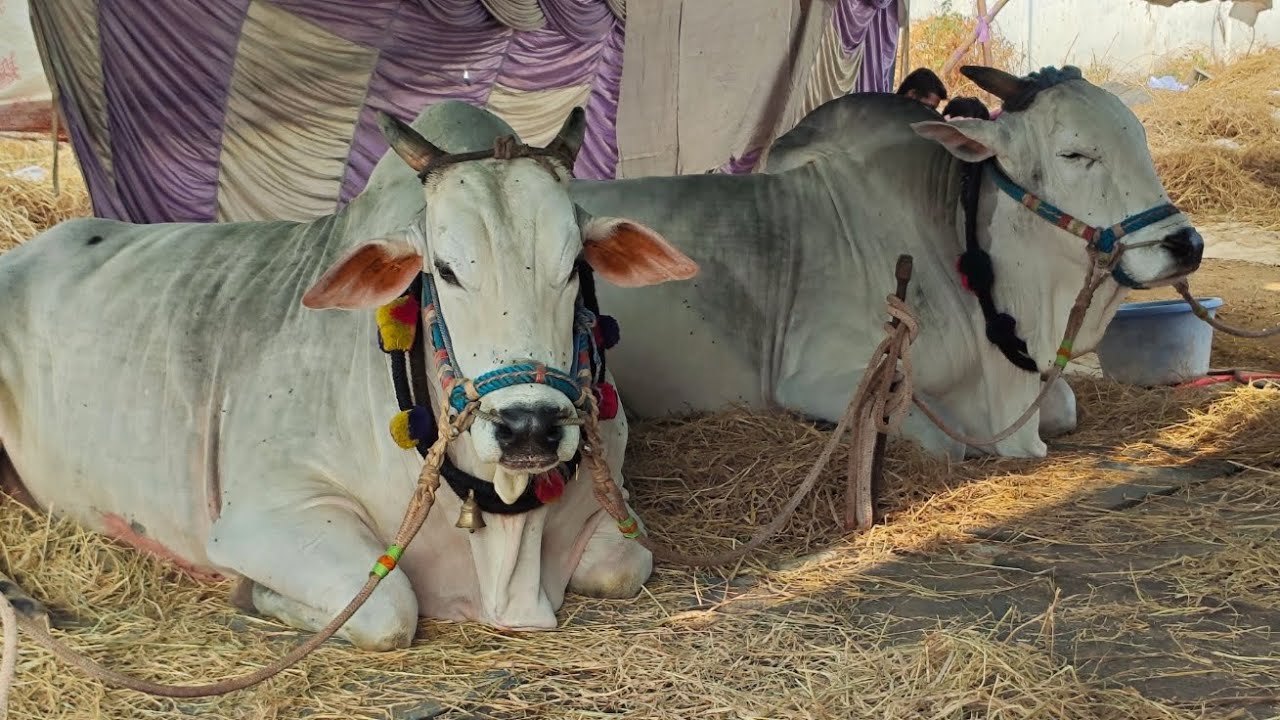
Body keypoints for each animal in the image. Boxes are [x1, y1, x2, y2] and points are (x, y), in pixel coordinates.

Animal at [0, 102, 699, 651]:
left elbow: (625, 565)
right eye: (445, 270)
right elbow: (391, 608)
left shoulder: (615, 504)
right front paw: (254, 595)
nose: (529, 427)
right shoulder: (266, 514)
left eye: (575, 264)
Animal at [568, 66, 1204, 460]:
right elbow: (948, 442)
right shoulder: (822, 379)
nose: (1187, 246)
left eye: (1140, 139)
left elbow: (1065, 406)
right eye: (1075, 153)